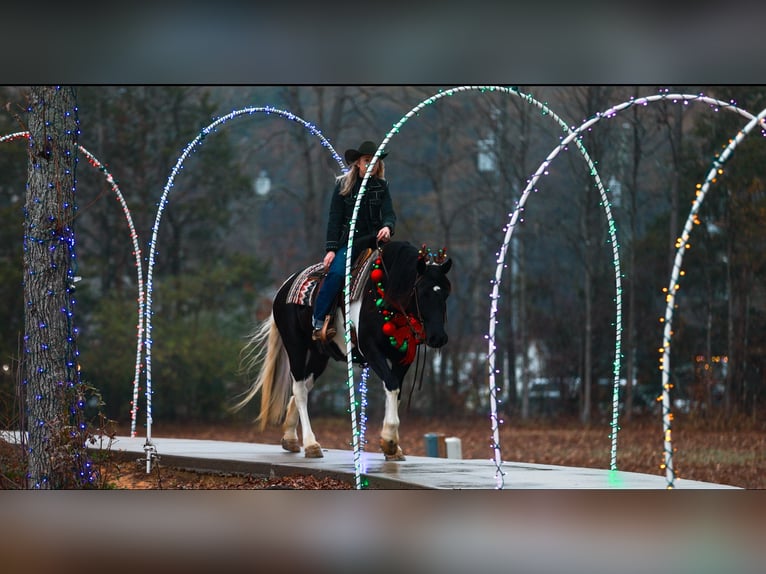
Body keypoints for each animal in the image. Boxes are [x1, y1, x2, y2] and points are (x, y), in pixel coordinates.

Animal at [232, 240, 452, 460]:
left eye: (445, 293)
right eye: (422, 292)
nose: (438, 337)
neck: (385, 294)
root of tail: (284, 287)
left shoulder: (403, 357)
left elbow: (395, 390)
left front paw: (393, 447)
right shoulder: (371, 350)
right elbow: (391, 384)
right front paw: (389, 441)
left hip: (320, 355)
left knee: (305, 385)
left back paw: (290, 438)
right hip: (295, 346)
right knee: (300, 390)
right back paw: (311, 444)